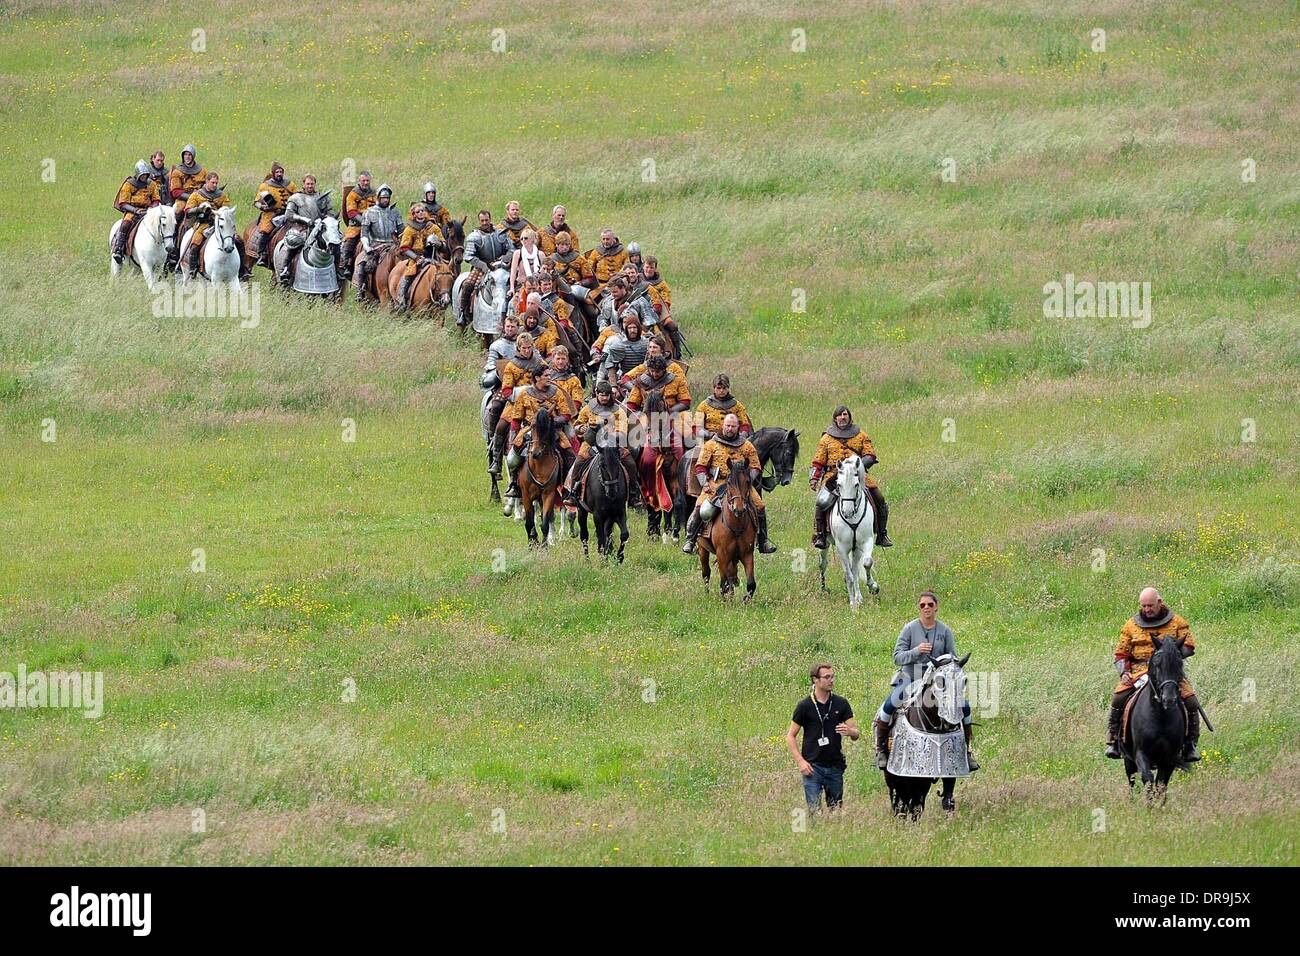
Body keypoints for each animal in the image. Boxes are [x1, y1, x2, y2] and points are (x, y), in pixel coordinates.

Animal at [514, 408, 561, 548]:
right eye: (533, 426)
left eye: (546, 428)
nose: (535, 453)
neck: (539, 465)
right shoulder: (526, 495)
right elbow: (529, 523)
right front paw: (532, 543)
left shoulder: (548, 494)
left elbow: (544, 523)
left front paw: (544, 546)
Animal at [696, 460, 759, 600]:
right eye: (729, 482)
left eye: (747, 481)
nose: (738, 509)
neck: (736, 525)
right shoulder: (722, 555)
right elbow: (723, 583)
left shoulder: (747, 554)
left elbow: (751, 583)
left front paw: (745, 600)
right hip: (703, 549)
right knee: (706, 572)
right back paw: (707, 593)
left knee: (731, 575)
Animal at [816, 455, 878, 613]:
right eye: (839, 485)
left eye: (856, 485)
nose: (847, 512)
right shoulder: (842, 548)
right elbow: (849, 576)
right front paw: (852, 605)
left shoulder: (865, 542)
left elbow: (866, 563)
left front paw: (872, 587)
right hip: (825, 546)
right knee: (823, 564)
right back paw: (823, 590)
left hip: (856, 549)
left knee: (854, 570)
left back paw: (859, 597)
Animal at [878, 655, 972, 816]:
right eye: (940, 681)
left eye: (964, 680)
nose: (951, 721)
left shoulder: (946, 768)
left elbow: (946, 798)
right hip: (892, 776)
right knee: (898, 801)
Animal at [1123, 639, 1190, 806]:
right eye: (1157, 664)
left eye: (1179, 663)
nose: (1169, 699)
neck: (1160, 717)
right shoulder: (1141, 753)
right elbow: (1148, 779)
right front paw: (1149, 806)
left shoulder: (1169, 758)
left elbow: (1162, 783)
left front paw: (1160, 806)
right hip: (1128, 760)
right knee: (1131, 780)